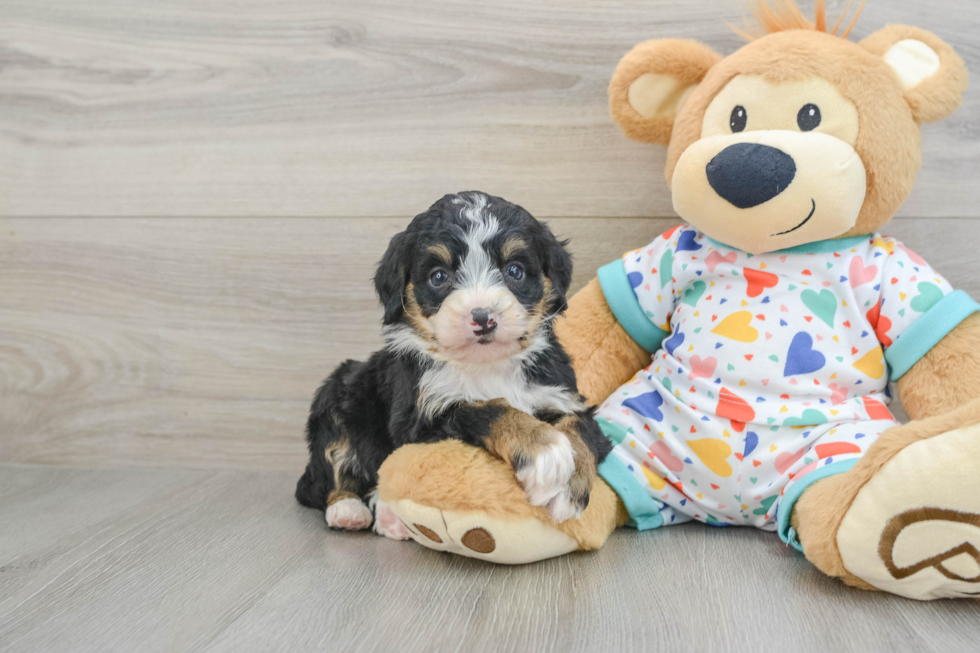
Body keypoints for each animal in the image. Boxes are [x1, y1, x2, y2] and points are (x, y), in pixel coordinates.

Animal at [294, 191, 608, 536]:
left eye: (514, 271)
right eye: (439, 277)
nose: (483, 317)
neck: (486, 366)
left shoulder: (561, 395)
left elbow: (579, 427)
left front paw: (568, 489)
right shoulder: (419, 420)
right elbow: (486, 409)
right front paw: (545, 450)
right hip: (338, 389)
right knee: (330, 470)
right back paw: (349, 510)